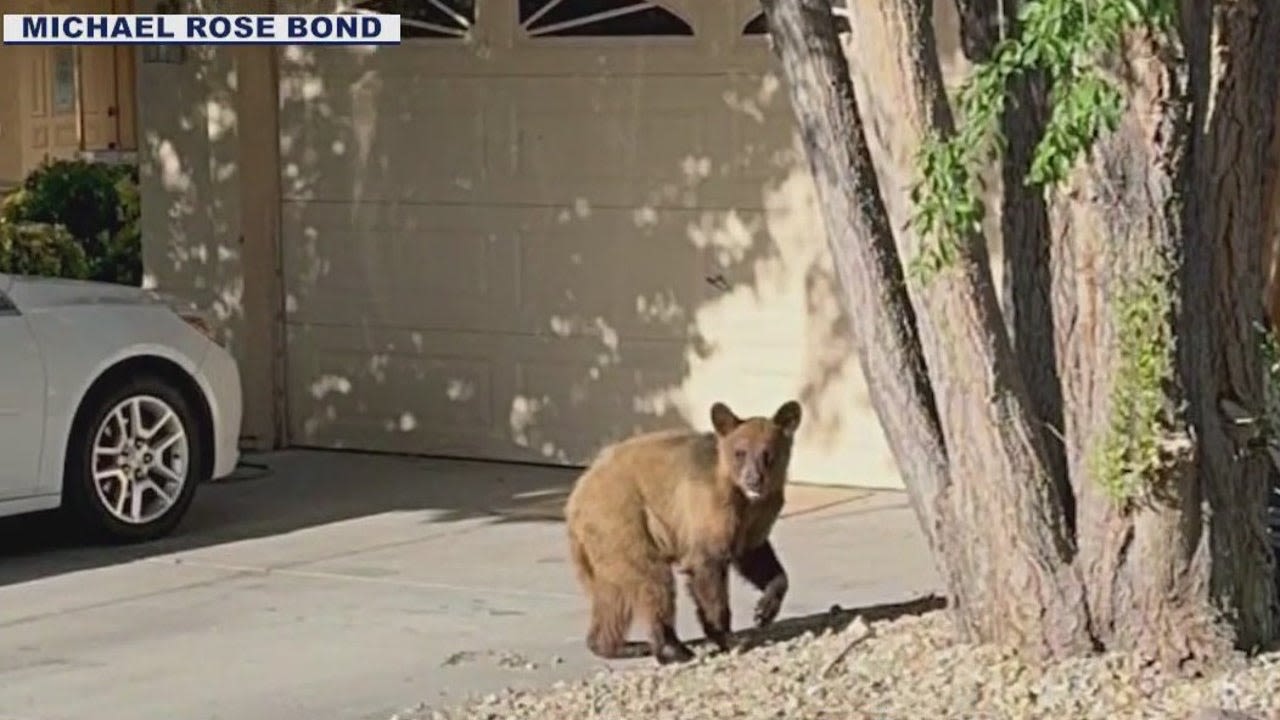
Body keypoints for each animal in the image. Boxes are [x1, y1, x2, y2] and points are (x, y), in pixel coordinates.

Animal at [563, 397, 798, 661]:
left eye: (768, 454)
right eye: (740, 452)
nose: (753, 480)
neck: (744, 498)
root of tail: (575, 497)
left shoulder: (758, 516)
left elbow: (756, 557)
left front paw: (764, 610)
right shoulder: (711, 506)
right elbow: (708, 567)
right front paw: (726, 636)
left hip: (604, 544)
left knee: (614, 595)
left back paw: (619, 645)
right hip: (622, 519)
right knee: (652, 579)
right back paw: (673, 648)